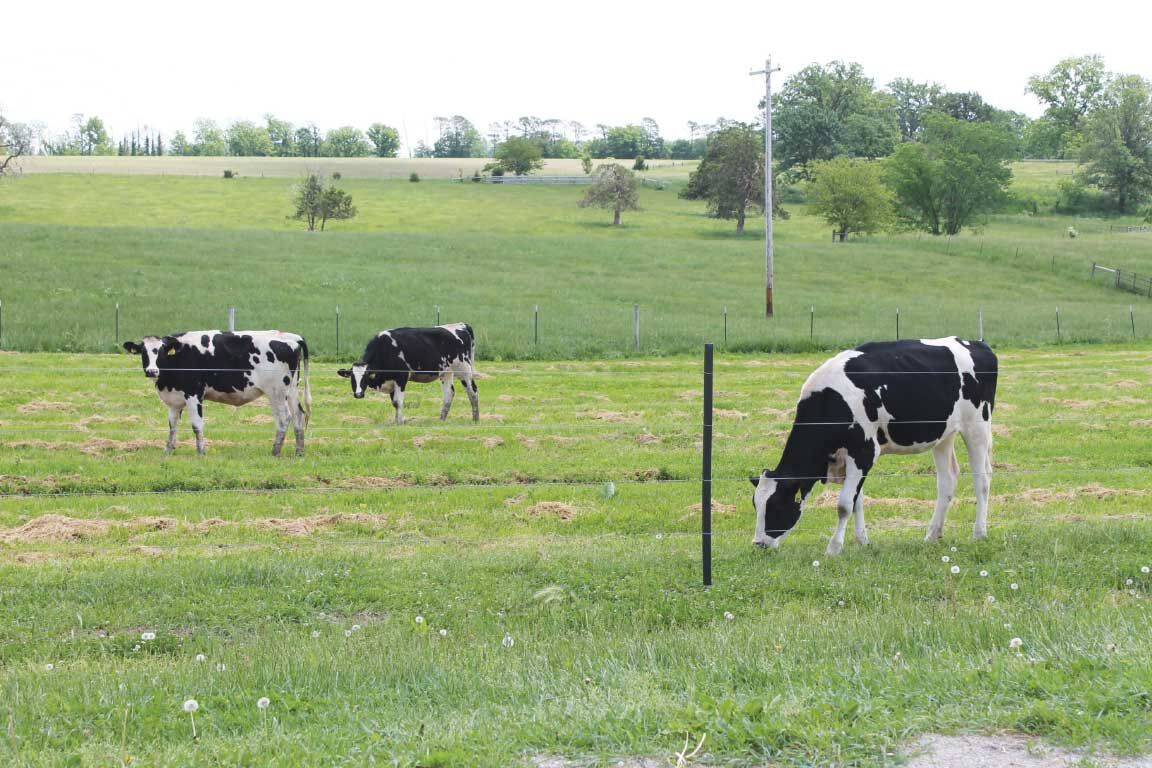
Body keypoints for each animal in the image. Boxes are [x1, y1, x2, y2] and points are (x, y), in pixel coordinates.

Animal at [123, 330, 311, 456]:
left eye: (161, 351)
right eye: (143, 352)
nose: (151, 371)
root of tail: (293, 337)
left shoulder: (194, 394)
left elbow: (197, 425)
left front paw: (201, 452)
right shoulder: (174, 400)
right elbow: (172, 425)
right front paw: (168, 449)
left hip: (276, 392)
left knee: (284, 418)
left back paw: (275, 451)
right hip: (291, 390)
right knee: (298, 415)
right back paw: (299, 451)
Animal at [337, 323, 478, 424]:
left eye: (365, 377)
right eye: (352, 378)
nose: (358, 394)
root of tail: (461, 325)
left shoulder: (401, 377)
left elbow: (398, 402)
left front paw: (400, 422)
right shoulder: (392, 381)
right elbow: (394, 403)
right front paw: (396, 420)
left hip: (464, 369)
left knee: (472, 391)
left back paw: (476, 418)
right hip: (446, 372)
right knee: (449, 394)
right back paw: (441, 420)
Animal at [750, 337, 998, 555]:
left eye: (775, 506)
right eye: (755, 505)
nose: (759, 544)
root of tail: (977, 343)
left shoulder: (864, 452)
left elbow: (844, 505)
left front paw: (833, 548)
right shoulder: (851, 459)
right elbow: (856, 501)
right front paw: (862, 541)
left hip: (977, 426)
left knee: (982, 479)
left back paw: (978, 534)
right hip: (943, 434)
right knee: (947, 479)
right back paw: (932, 535)